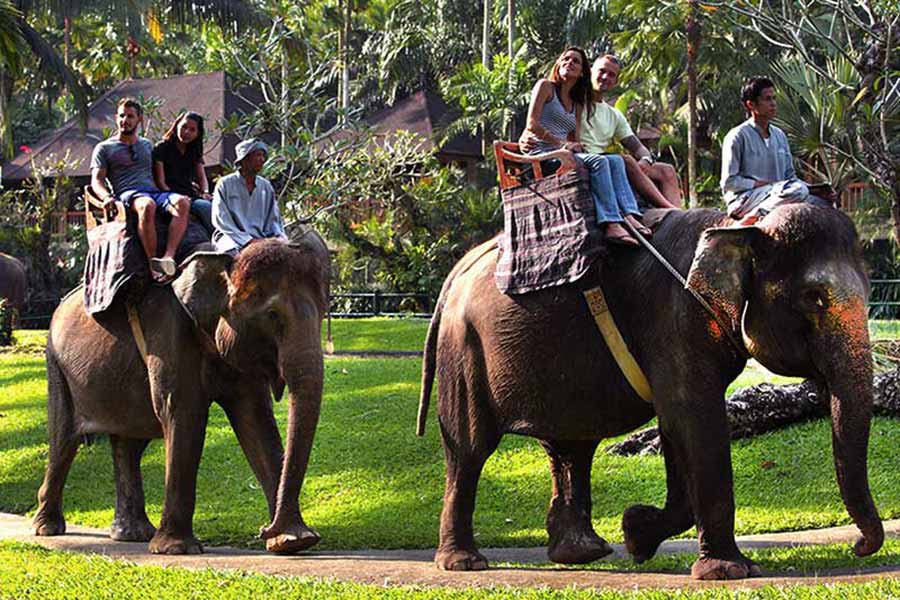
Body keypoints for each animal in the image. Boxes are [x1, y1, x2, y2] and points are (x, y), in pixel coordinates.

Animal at [33, 233, 330, 555]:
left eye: (324, 311)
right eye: (272, 315)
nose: (264, 529)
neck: (224, 262)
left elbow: (255, 421)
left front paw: (293, 541)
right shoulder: (169, 333)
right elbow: (184, 414)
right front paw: (176, 549)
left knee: (129, 443)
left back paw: (132, 534)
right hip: (56, 365)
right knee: (64, 438)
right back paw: (47, 528)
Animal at [417, 204, 883, 579]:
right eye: (814, 298)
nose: (858, 546)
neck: (739, 227)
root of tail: (458, 269)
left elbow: (676, 427)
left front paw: (636, 534)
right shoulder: (675, 319)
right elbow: (695, 421)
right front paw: (728, 571)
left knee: (570, 445)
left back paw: (581, 554)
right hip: (464, 350)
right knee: (469, 449)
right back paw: (464, 563)